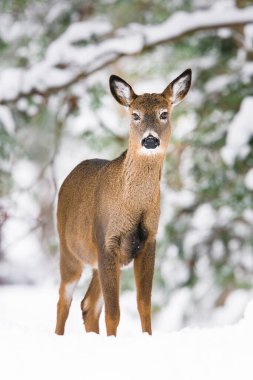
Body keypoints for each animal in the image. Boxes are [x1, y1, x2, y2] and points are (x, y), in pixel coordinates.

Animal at [54, 68, 191, 336]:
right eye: (135, 115)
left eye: (164, 113)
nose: (150, 140)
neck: (134, 207)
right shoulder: (107, 240)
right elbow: (113, 312)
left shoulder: (149, 240)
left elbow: (144, 305)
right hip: (69, 250)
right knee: (64, 299)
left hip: (97, 261)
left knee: (88, 304)